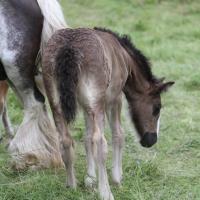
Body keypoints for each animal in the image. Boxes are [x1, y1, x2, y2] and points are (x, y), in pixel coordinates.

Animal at [42, 27, 175, 200]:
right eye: (157, 108)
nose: (151, 140)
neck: (123, 57)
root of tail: (68, 47)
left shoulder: (87, 106)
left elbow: (87, 137)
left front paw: (90, 178)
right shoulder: (114, 99)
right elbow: (118, 134)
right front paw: (117, 177)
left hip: (56, 103)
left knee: (65, 139)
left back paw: (71, 186)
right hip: (98, 103)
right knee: (100, 141)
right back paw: (105, 192)